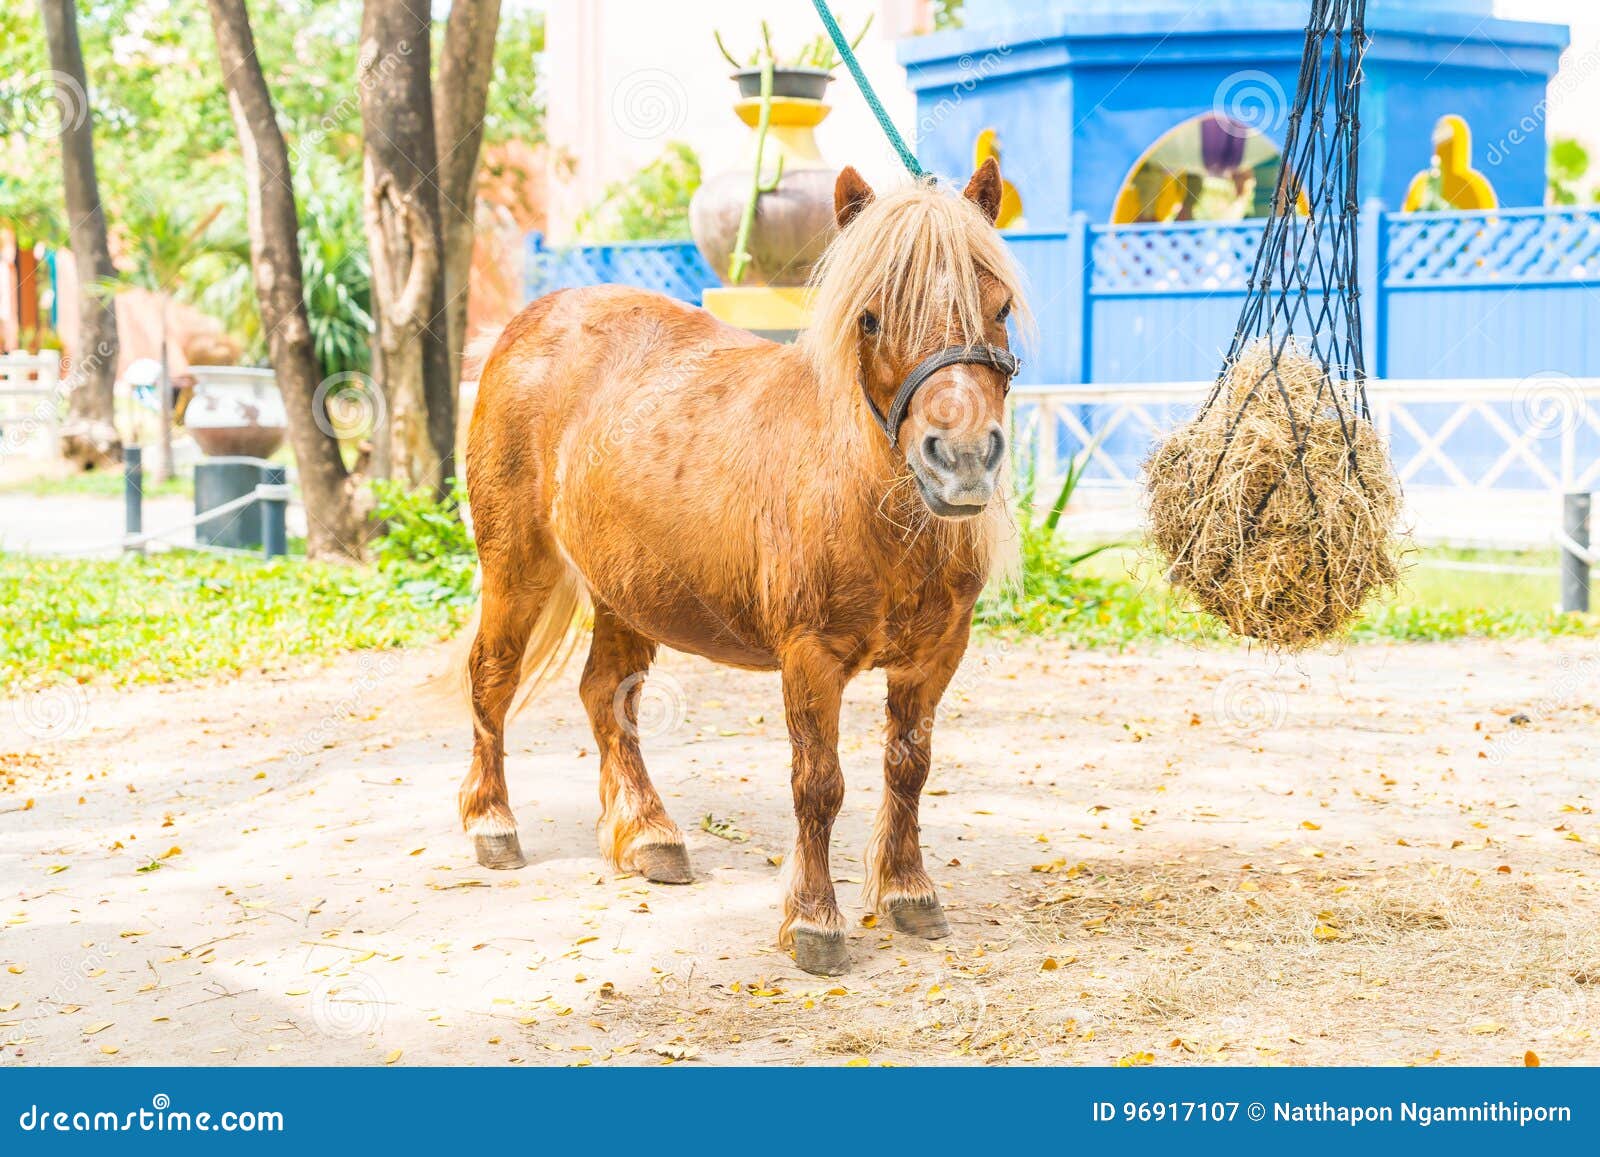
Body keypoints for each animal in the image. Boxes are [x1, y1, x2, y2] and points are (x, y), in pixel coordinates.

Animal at [457, 158, 1030, 972]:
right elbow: (819, 784)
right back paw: (492, 823)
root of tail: (529, 321)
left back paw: (648, 835)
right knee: (493, 677)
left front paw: (908, 891)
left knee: (606, 695)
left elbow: (908, 767)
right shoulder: (810, 656)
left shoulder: (936, 655)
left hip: (623, 591)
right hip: (518, 566)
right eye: (870, 317)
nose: (962, 458)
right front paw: (815, 921)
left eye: (1000, 305)